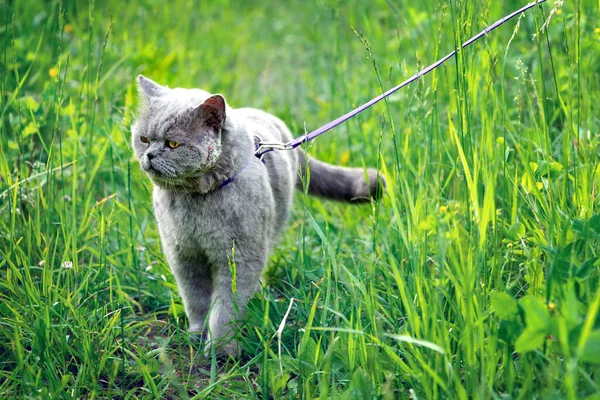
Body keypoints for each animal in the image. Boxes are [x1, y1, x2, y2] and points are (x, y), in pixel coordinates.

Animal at [131, 75, 384, 356]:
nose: (150, 155)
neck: (195, 199)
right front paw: (197, 334)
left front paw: (219, 350)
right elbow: (195, 299)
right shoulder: (182, 255)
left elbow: (226, 308)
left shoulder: (239, 257)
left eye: (173, 144)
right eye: (143, 138)